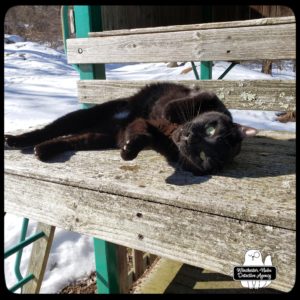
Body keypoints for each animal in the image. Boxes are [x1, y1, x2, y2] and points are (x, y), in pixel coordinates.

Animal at [4, 82, 258, 176]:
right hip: (83, 116)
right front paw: (169, 112)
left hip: (97, 137)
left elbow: (142, 136)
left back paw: (43, 151)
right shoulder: (208, 97)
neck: (171, 132)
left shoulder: (152, 134)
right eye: (210, 130)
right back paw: (15, 140)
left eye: (204, 156)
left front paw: (128, 150)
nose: (189, 137)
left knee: (70, 140)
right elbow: (186, 101)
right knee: (48, 129)